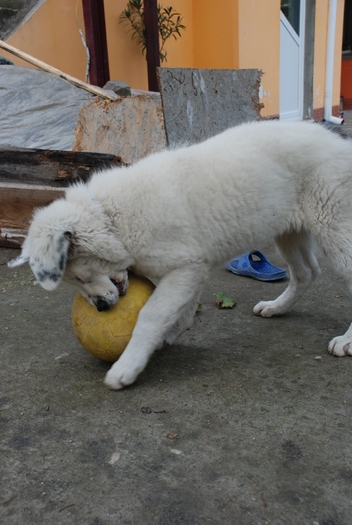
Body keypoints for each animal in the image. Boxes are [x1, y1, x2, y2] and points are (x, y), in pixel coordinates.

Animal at [8, 119, 352, 388]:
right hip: (288, 231)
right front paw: (166, 336)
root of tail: (341, 143)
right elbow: (180, 310)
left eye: (80, 276)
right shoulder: (191, 268)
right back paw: (277, 307)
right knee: (306, 273)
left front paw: (127, 366)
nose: (102, 309)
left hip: (333, 226)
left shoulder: (184, 267)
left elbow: (151, 314)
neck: (112, 219)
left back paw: (347, 341)